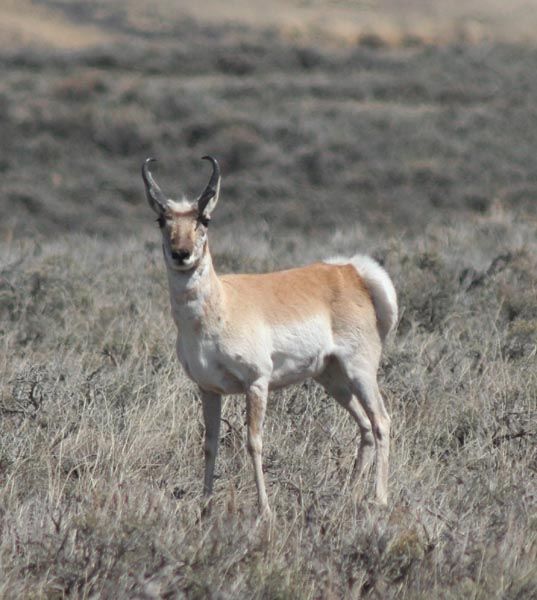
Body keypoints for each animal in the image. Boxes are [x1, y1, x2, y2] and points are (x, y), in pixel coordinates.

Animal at [142, 156, 398, 516]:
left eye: (204, 218)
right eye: (161, 219)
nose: (182, 253)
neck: (221, 304)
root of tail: (349, 271)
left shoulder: (257, 383)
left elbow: (254, 442)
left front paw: (264, 509)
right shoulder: (208, 389)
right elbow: (210, 444)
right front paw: (205, 508)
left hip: (359, 371)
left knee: (381, 422)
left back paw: (379, 498)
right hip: (332, 378)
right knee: (364, 426)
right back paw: (347, 494)